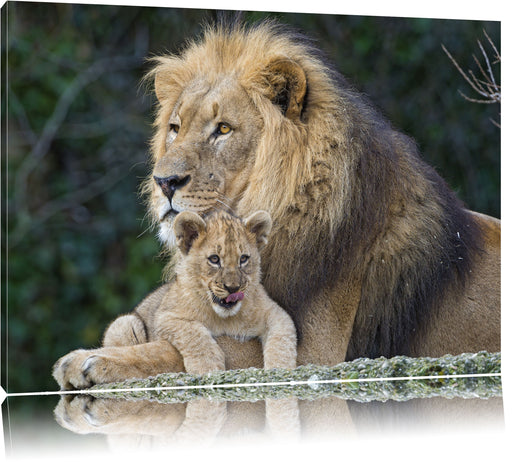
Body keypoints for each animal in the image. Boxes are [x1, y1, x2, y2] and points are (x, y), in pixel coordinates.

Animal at [53, 21, 500, 390]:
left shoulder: (316, 353)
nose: (164, 182)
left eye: (223, 129)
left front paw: (90, 359)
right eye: (175, 128)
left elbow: (188, 350)